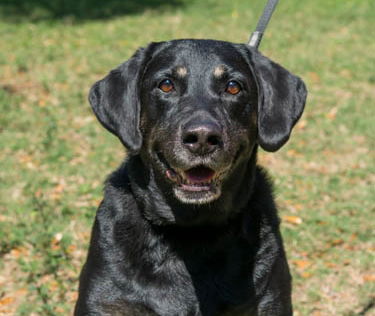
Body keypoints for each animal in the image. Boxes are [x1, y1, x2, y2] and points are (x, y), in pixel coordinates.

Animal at [75, 40, 308, 316]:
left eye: (233, 86)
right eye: (166, 84)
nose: (202, 137)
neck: (191, 231)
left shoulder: (268, 300)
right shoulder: (108, 302)